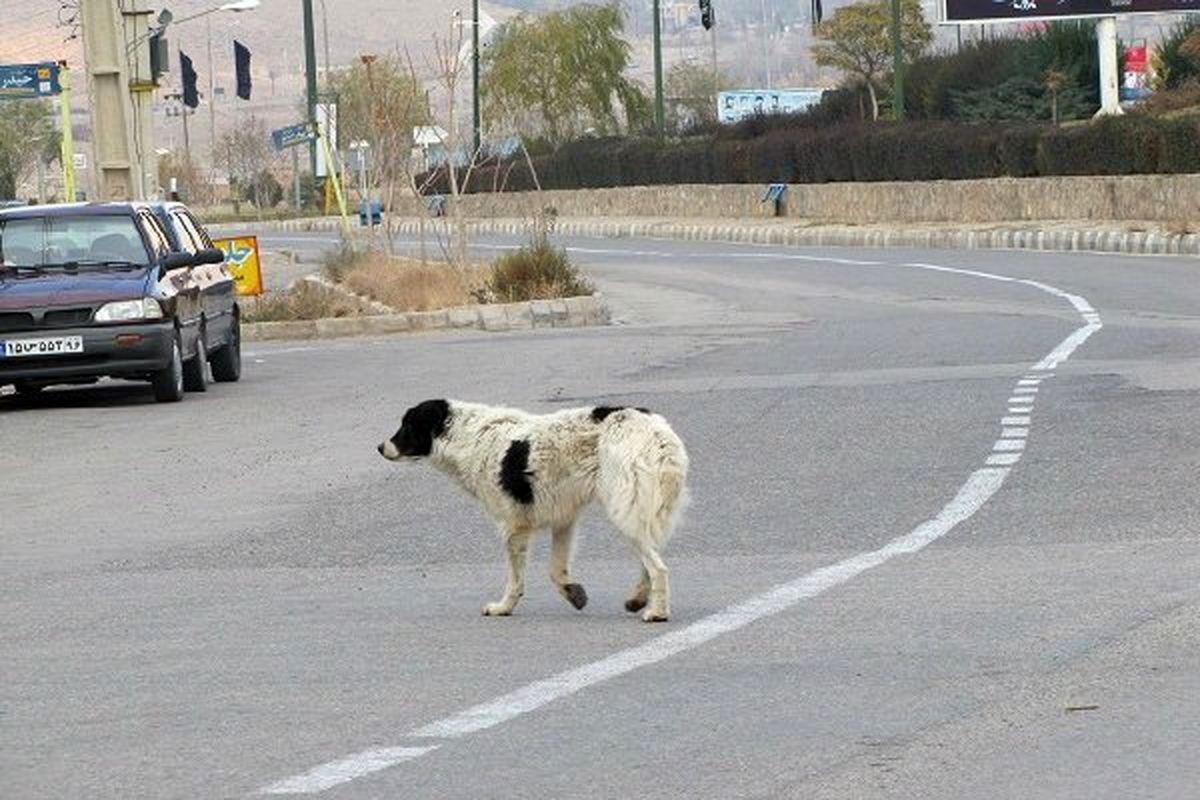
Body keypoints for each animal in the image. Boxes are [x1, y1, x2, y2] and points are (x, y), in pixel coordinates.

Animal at [374, 402, 696, 623]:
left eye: (406, 426)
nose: (379, 447)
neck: (469, 437)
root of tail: (659, 435)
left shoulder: (513, 527)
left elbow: (515, 580)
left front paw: (503, 607)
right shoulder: (564, 519)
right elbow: (556, 570)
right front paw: (573, 592)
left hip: (625, 510)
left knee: (658, 568)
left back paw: (657, 612)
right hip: (640, 513)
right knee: (649, 561)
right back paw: (638, 599)